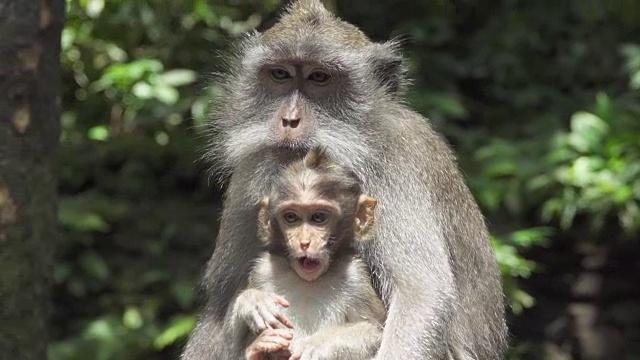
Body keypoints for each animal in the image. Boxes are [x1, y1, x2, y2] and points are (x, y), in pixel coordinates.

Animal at [231, 149, 384, 360]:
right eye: (291, 217)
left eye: (318, 217)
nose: (304, 242)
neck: (308, 282)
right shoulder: (262, 269)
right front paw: (253, 302)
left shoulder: (356, 277)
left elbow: (374, 329)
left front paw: (317, 345)